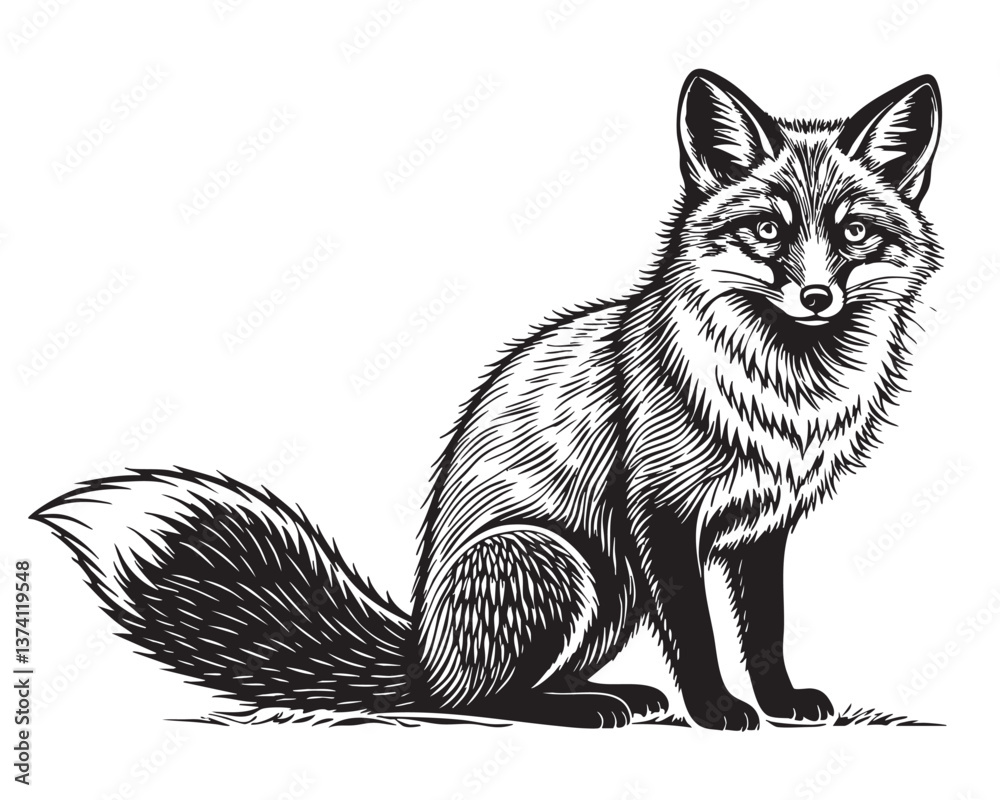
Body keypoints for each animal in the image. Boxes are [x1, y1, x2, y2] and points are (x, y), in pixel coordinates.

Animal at [33, 69, 942, 730]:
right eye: (767, 231)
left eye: (854, 232)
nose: (817, 296)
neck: (781, 394)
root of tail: (417, 652)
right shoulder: (661, 517)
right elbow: (696, 633)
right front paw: (719, 710)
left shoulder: (761, 529)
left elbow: (767, 631)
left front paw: (781, 702)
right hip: (558, 564)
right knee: (481, 701)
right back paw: (584, 709)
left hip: (608, 597)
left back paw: (612, 696)